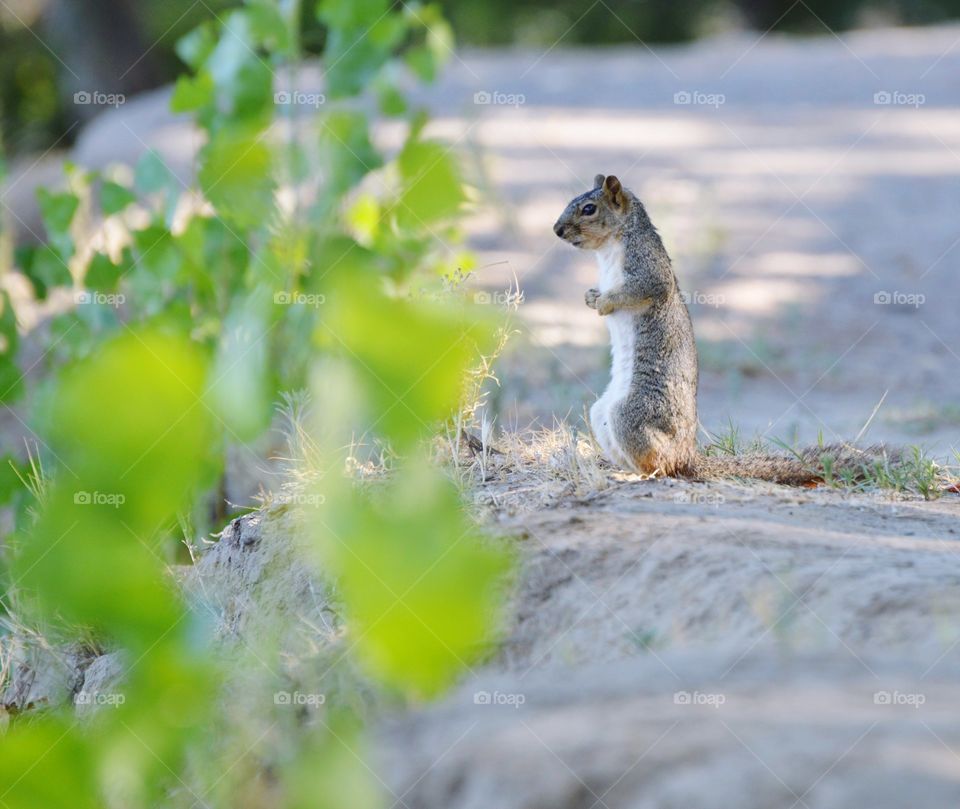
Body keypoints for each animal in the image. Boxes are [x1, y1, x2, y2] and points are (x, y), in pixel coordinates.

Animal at [553, 174, 889, 484]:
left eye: (588, 209)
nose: (557, 230)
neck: (611, 247)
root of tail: (688, 458)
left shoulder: (647, 267)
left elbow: (642, 288)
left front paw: (603, 303)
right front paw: (590, 297)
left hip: (630, 416)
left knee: (661, 465)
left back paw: (634, 475)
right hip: (602, 413)